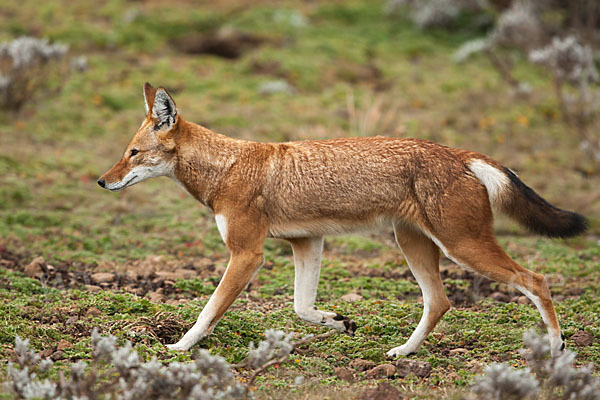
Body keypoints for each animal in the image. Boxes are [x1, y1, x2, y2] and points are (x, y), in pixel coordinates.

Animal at [97, 83, 584, 358]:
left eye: (133, 153)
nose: (102, 181)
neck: (228, 167)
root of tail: (460, 154)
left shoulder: (247, 254)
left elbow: (208, 312)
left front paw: (178, 347)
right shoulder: (306, 243)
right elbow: (301, 307)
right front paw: (338, 322)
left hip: (462, 249)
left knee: (536, 279)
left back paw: (557, 349)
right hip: (415, 245)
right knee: (440, 302)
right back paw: (402, 352)